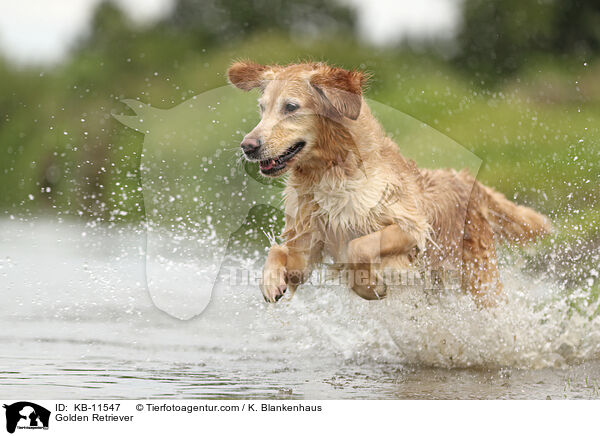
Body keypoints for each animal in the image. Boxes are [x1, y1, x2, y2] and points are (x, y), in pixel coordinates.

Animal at [226, 61, 552, 306]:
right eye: (262, 108)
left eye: (291, 107)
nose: (247, 146)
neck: (330, 173)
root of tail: (464, 177)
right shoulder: (309, 241)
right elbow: (280, 255)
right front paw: (271, 282)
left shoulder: (411, 227)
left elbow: (358, 247)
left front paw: (371, 286)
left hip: (480, 278)